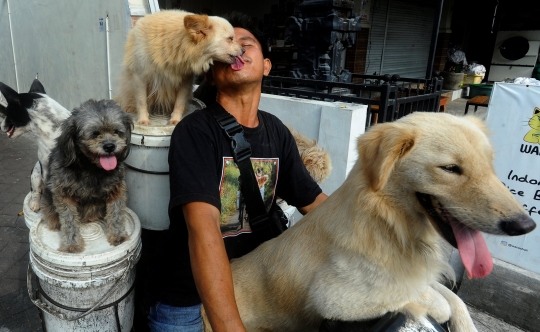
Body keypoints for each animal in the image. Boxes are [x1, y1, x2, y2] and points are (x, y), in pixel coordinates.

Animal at [0, 79, 70, 211]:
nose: (0, 124)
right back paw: (35, 204)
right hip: (36, 174)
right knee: (35, 192)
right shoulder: (46, 169)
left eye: (7, 112)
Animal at [118, 10, 247, 125]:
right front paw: (143, 120)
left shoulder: (185, 81)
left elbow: (179, 103)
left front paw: (175, 120)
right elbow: (141, 101)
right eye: (230, 39)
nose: (244, 50)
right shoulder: (139, 77)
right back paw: (129, 106)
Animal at [206, 113, 536, 330]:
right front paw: (436, 307)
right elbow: (421, 296)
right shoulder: (337, 299)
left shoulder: (418, 273)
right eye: (451, 169)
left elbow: (454, 299)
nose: (525, 226)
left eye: (489, 164)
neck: (389, 224)